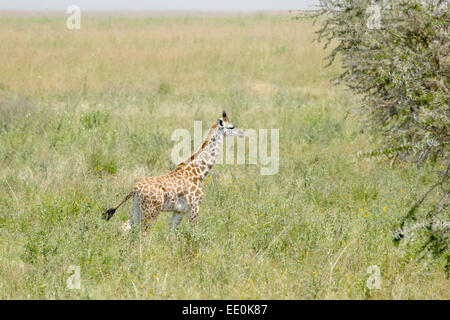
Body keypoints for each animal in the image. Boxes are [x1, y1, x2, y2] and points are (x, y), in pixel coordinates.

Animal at [102, 111, 244, 234]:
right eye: (231, 127)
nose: (242, 133)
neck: (198, 174)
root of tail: (135, 188)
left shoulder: (179, 211)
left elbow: (171, 235)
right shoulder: (194, 208)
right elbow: (194, 233)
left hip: (137, 208)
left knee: (124, 227)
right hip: (151, 212)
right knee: (143, 234)